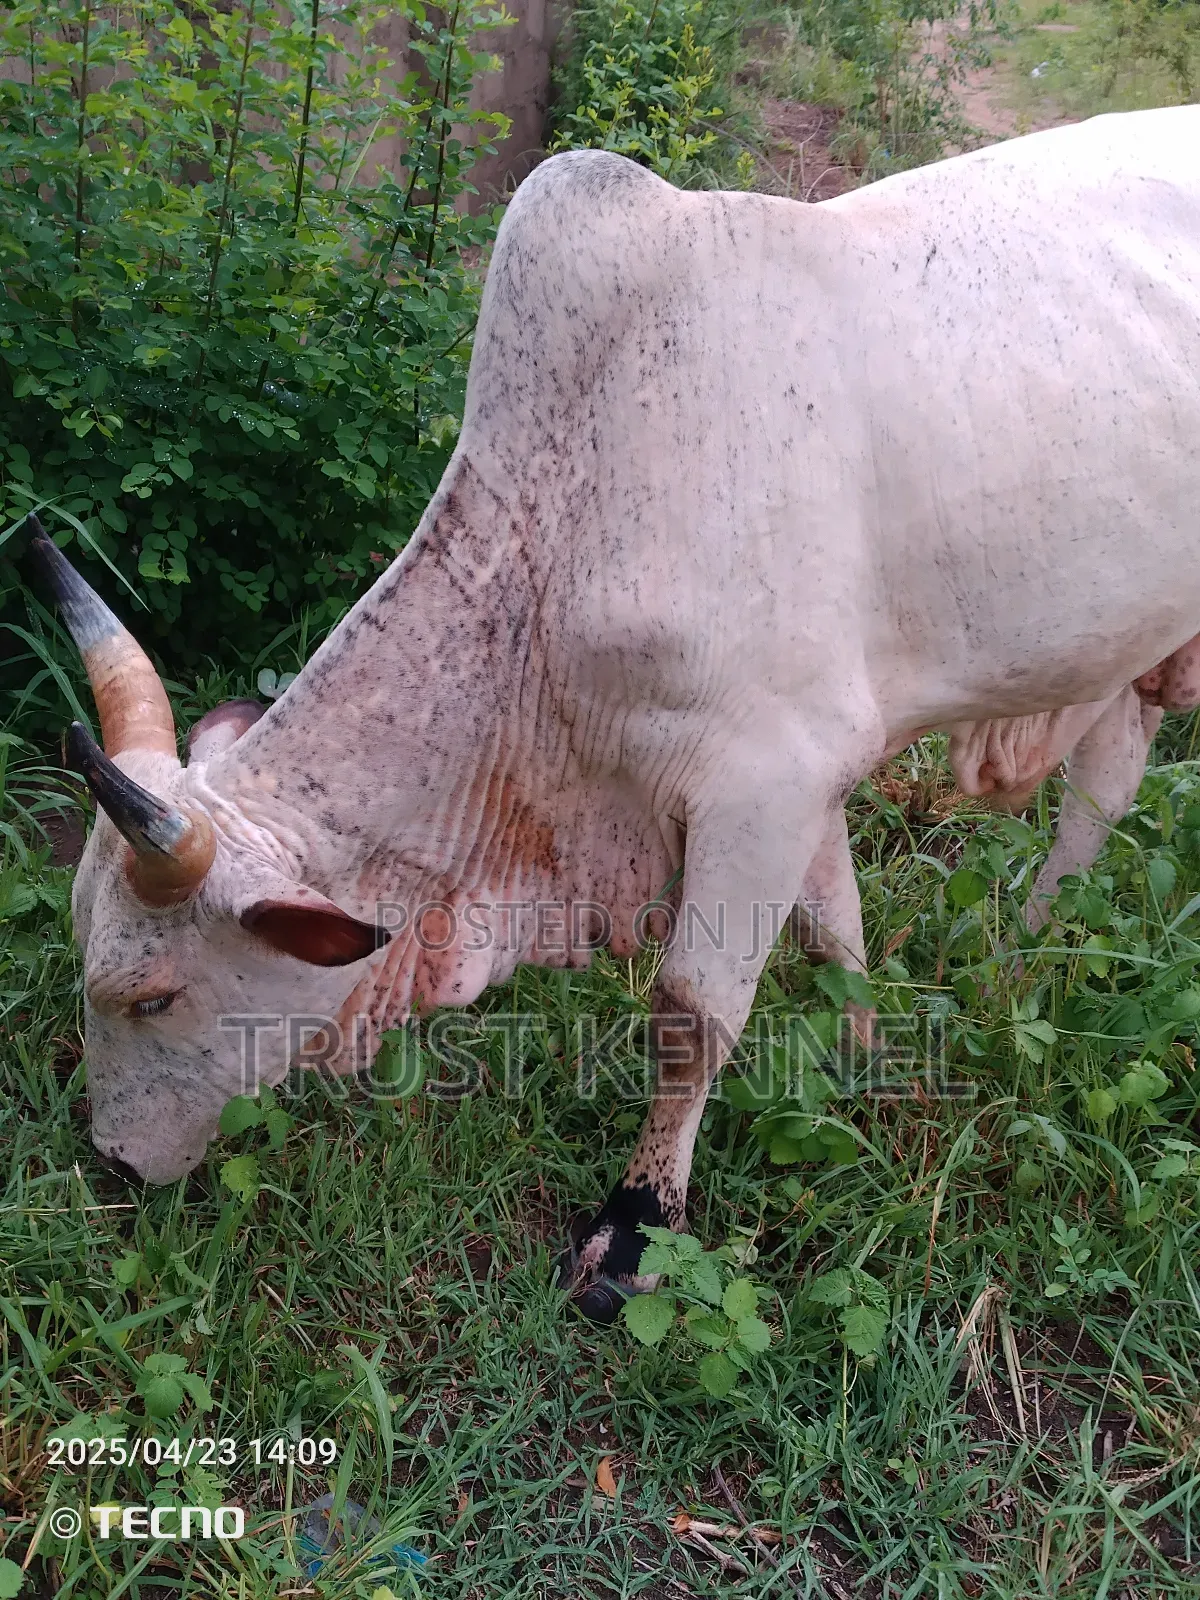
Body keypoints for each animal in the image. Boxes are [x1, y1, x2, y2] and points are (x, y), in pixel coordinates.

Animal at [33, 104, 1200, 1323]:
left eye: (153, 996)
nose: (113, 1162)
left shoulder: (762, 784)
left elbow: (693, 1017)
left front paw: (637, 1227)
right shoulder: (806, 778)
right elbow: (835, 931)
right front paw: (866, 1065)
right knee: (1104, 788)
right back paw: (1028, 958)